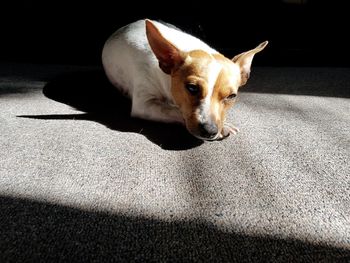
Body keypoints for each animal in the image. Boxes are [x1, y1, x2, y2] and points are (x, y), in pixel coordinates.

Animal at [102, 19, 268, 141]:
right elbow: (174, 110)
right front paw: (225, 127)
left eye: (231, 96)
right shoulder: (144, 105)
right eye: (192, 88)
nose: (210, 130)